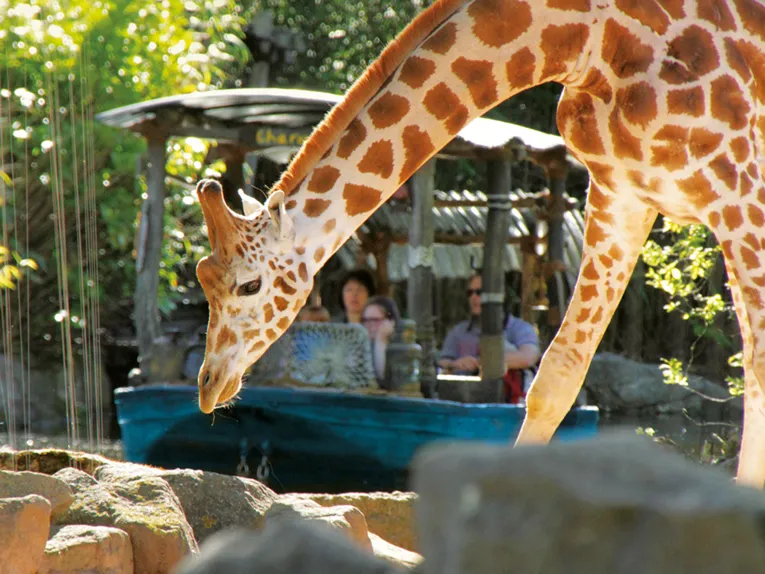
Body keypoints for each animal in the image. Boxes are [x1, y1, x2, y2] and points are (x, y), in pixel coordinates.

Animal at [194, 0, 765, 487]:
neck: (585, 38)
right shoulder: (620, 193)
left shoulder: (740, 192)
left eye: (249, 285)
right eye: (203, 281)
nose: (208, 384)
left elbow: (756, 371)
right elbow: (556, 375)